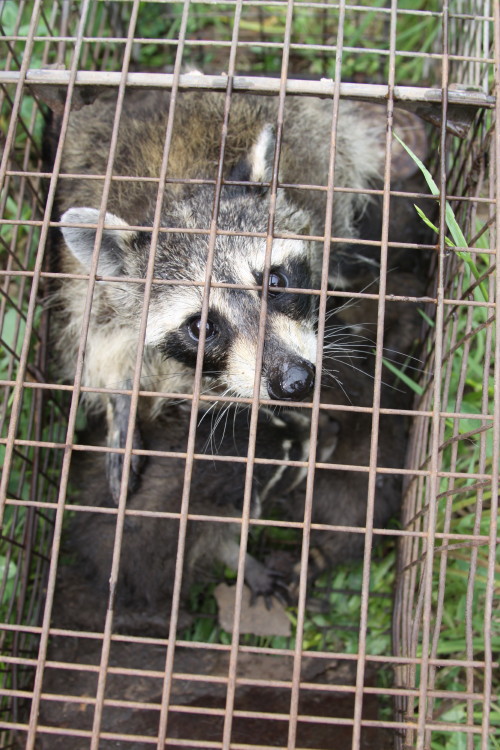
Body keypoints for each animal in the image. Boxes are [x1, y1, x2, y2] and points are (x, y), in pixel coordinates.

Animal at [47, 88, 394, 500]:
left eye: (275, 281)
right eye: (201, 326)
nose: (295, 382)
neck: (179, 192)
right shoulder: (91, 293)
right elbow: (102, 345)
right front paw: (121, 404)